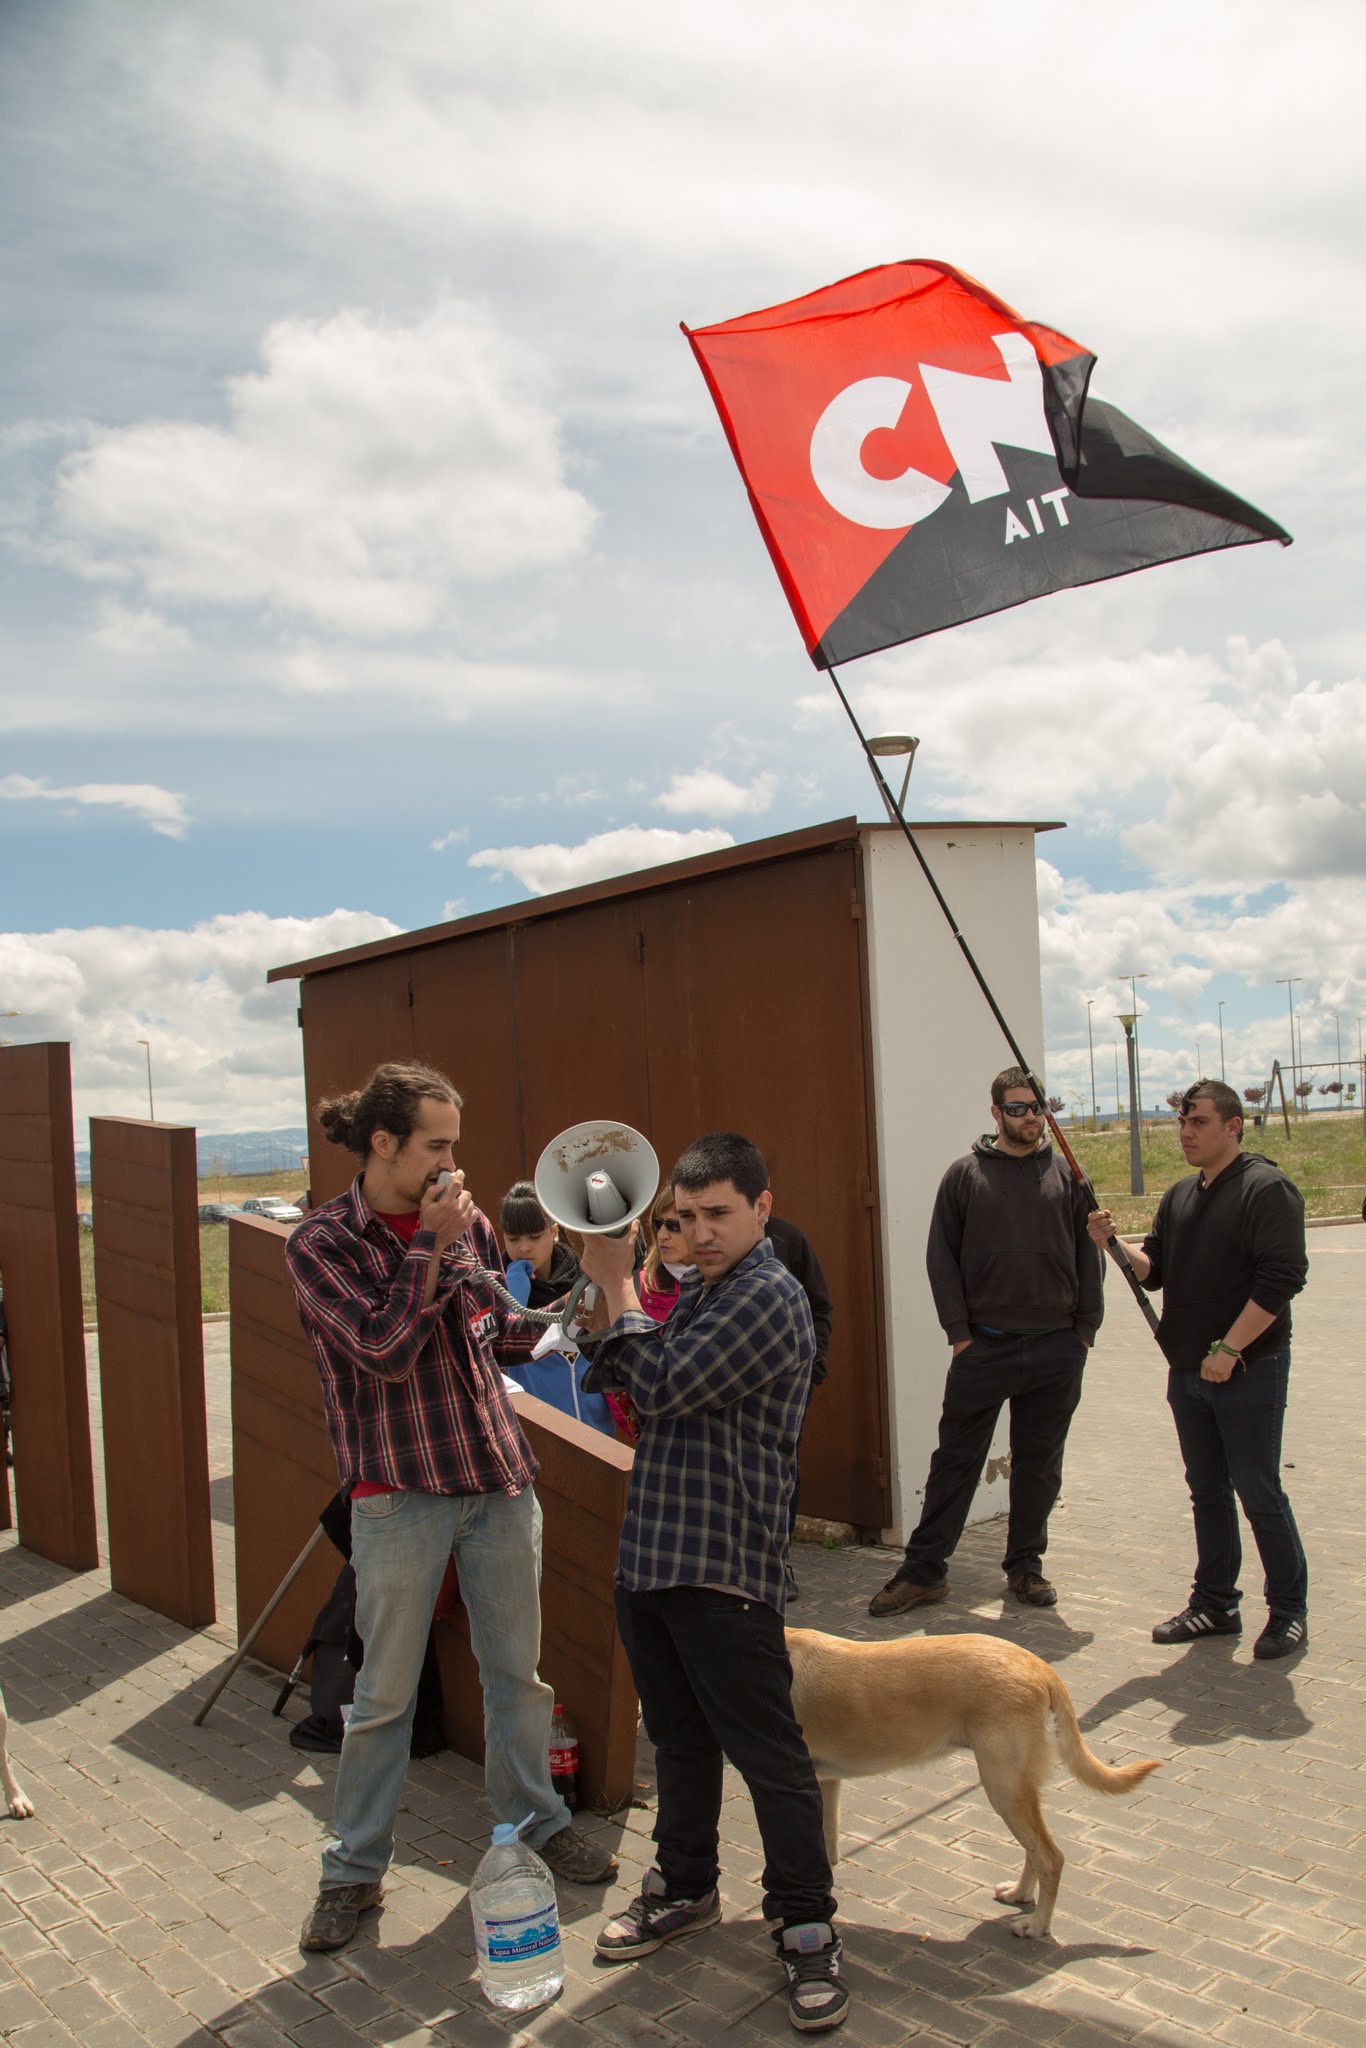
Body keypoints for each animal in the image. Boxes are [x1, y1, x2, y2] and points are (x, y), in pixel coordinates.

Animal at [786, 1626, 1158, 1937]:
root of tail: (1038, 1665)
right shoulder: (825, 1783)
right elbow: (826, 1849)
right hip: (1017, 1788)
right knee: (1035, 1851)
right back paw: (1020, 1894)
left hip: (1003, 1787)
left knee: (1051, 1858)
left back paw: (1037, 1925)